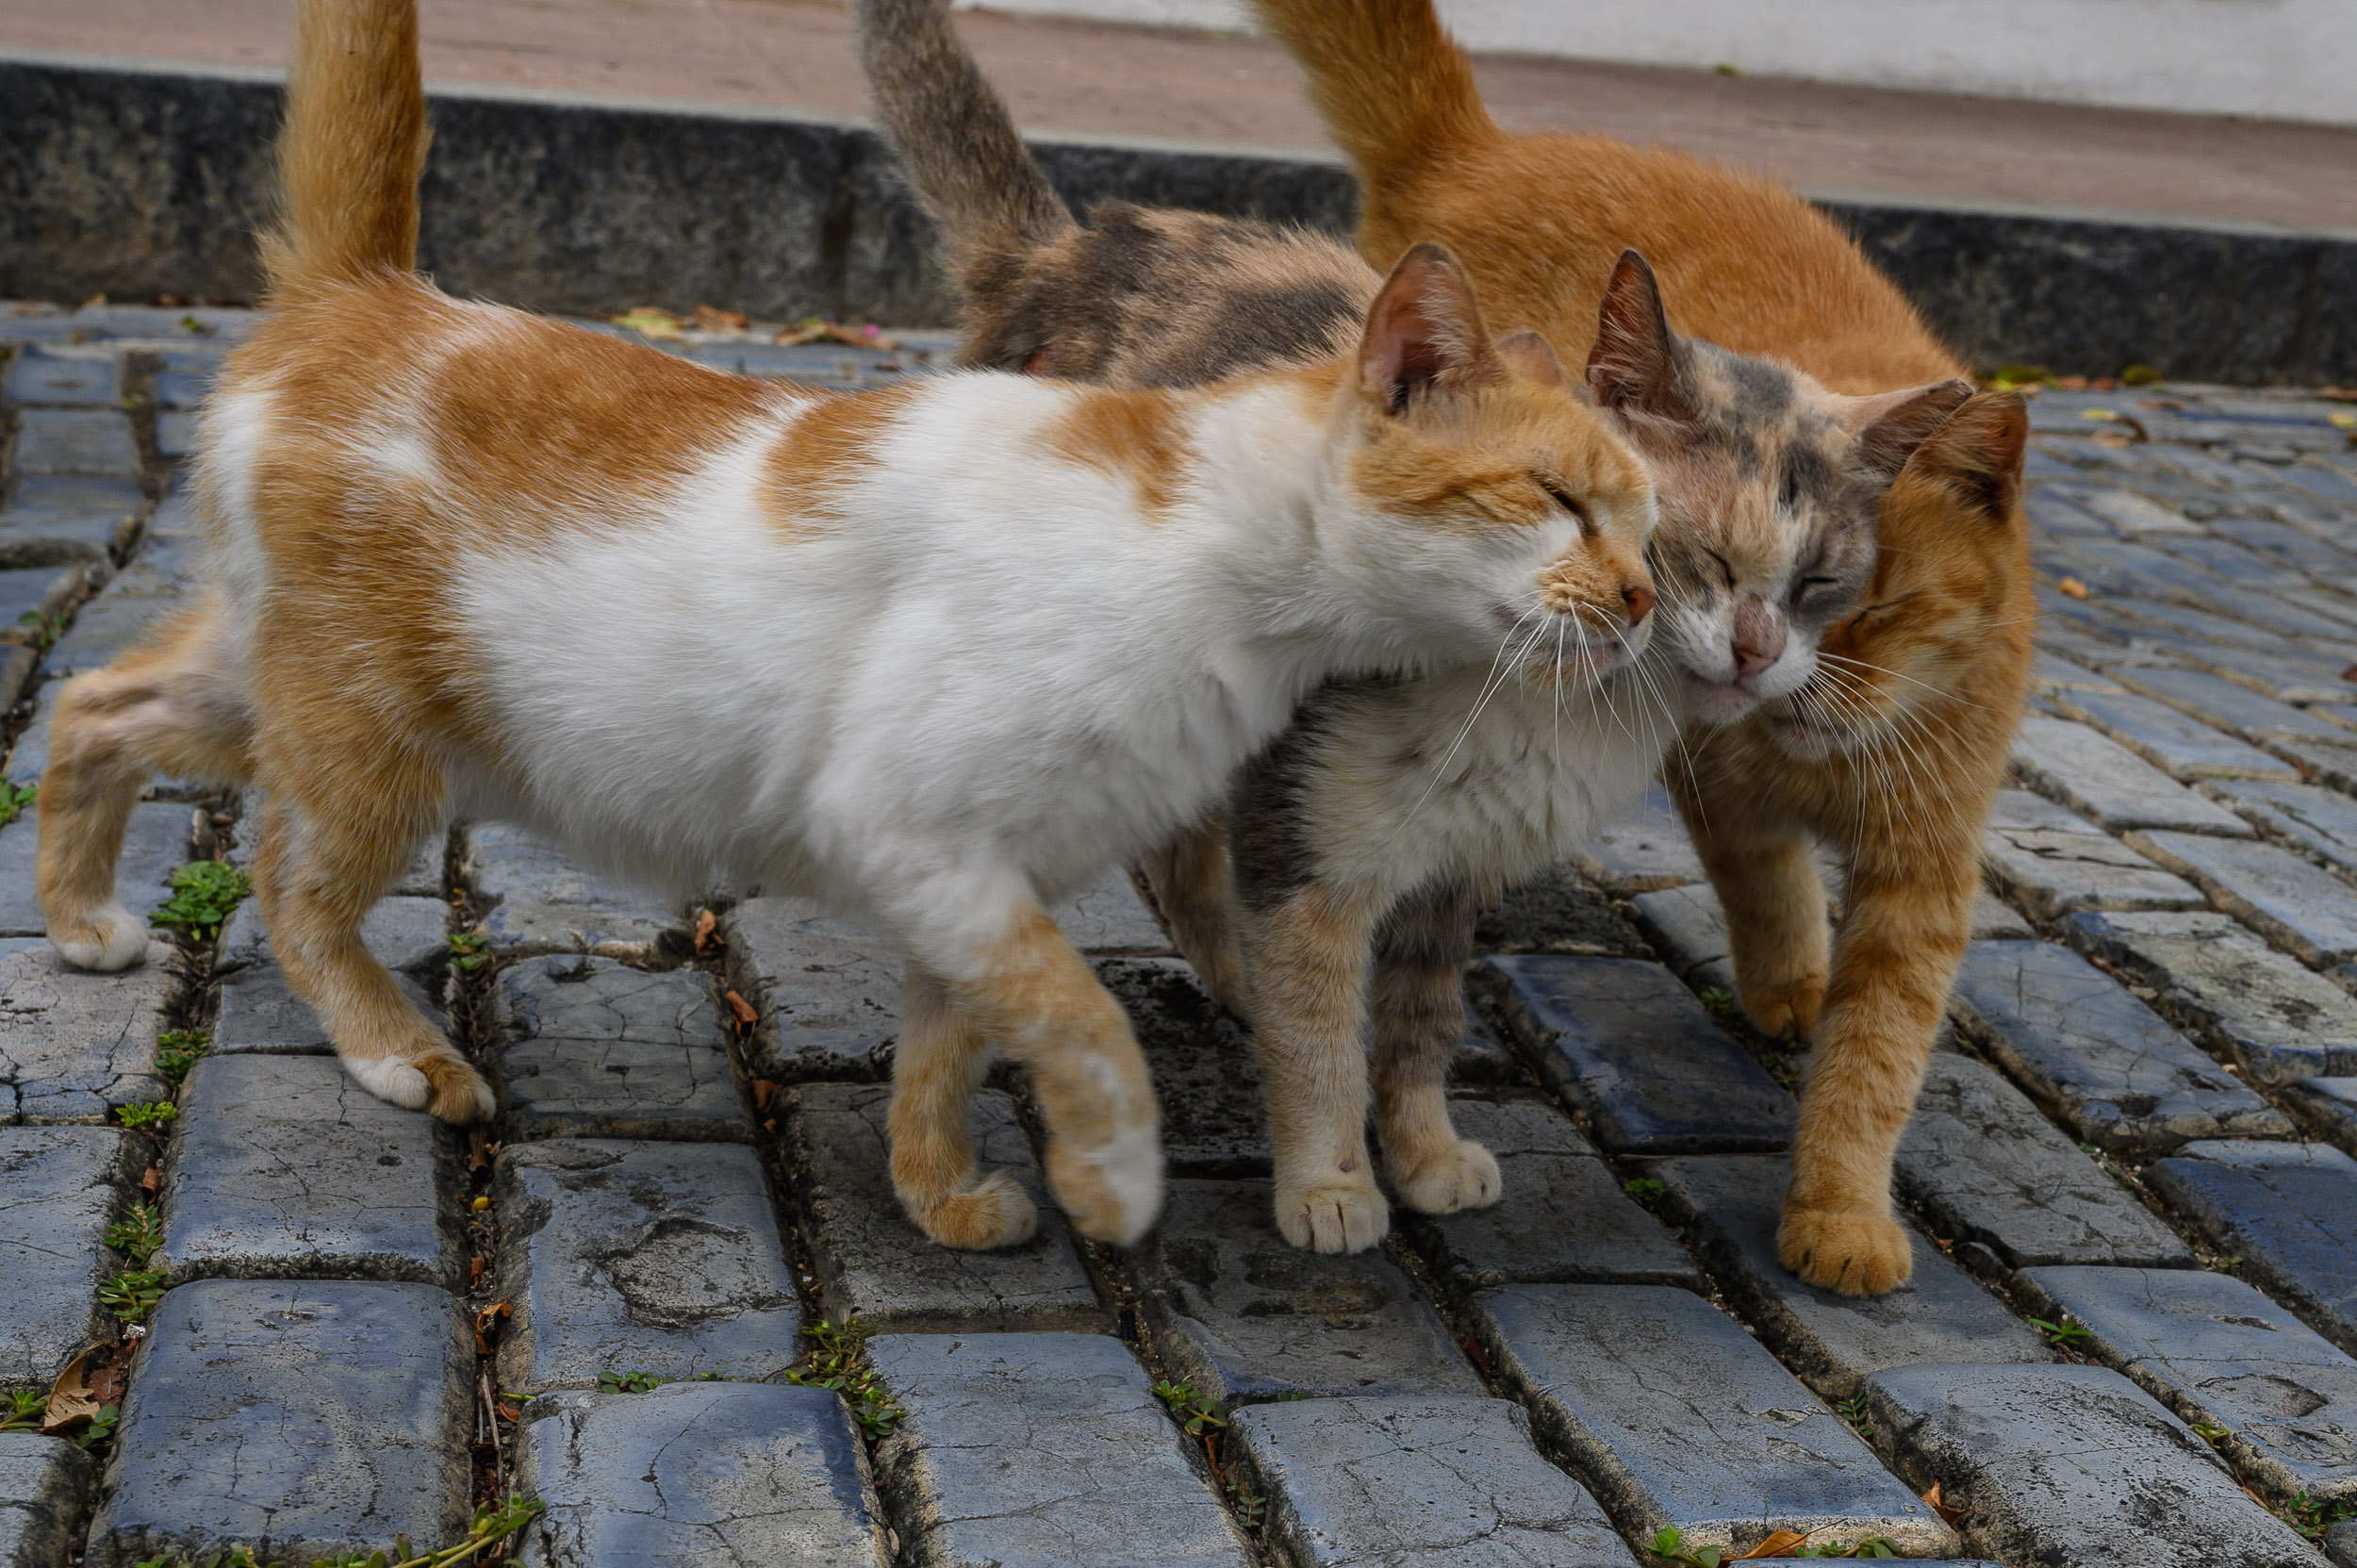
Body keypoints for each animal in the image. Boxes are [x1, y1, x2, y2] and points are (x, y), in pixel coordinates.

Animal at [37, 0, 1669, 1245]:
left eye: (1654, 519)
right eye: (1559, 498)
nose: (1649, 596)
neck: (1211, 557)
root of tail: (374, 296)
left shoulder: (975, 871)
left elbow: (955, 1037)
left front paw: (939, 1190)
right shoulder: (916, 824)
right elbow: (1091, 1019)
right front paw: (1112, 1174)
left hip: (288, 683)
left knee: (93, 702)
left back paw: (77, 918)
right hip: (376, 745)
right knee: (290, 888)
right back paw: (399, 1050)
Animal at [858, 0, 1980, 1254]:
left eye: (1823, 582)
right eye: (1686, 545)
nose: (1752, 651)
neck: (1530, 705)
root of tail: (1067, 251)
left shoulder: (1453, 879)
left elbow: (1415, 1032)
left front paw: (1427, 1152)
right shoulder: (1309, 853)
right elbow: (1319, 1041)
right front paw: (1329, 1183)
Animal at [1254, 0, 2046, 1292]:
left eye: (1858, 599)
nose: (1780, 670)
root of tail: (1489, 146)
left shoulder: (1926, 861)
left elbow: (1877, 1052)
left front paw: (1839, 1203)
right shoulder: (1717, 782)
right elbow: (1769, 889)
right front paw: (1794, 991)